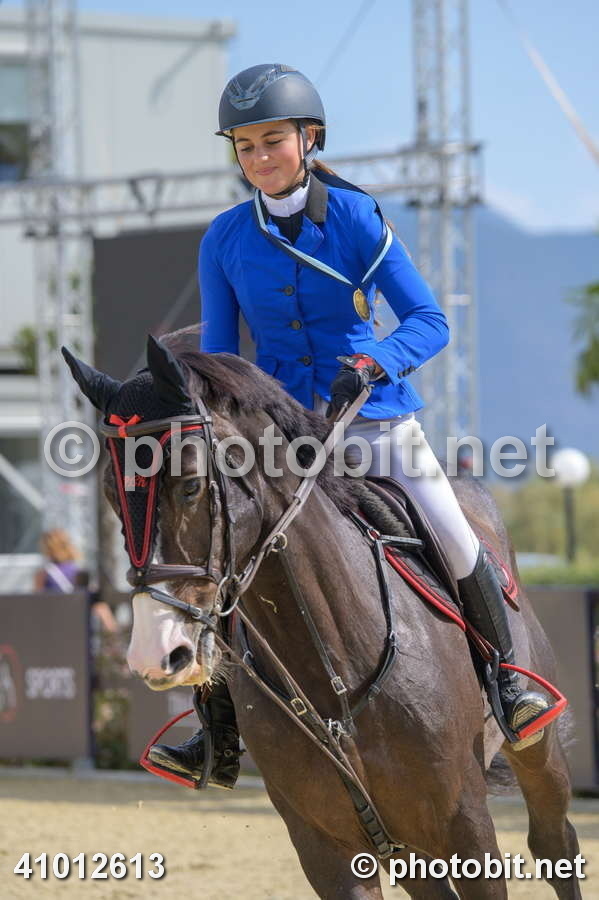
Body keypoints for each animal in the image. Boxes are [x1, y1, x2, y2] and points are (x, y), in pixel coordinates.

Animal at [64, 329, 582, 900]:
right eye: (112, 496)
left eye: (192, 486)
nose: (155, 655)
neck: (331, 668)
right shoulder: (326, 848)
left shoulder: (465, 827)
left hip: (536, 755)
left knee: (554, 843)